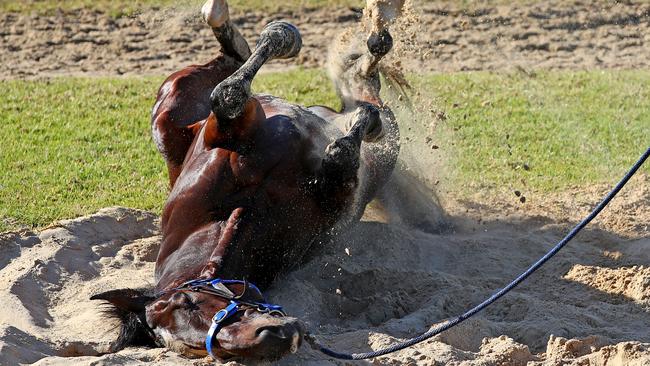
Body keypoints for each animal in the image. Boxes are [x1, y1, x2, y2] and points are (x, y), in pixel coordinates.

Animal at [90, 0, 404, 360]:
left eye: (189, 301)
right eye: (197, 349)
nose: (273, 338)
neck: (246, 210)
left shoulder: (225, 129)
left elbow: (228, 95)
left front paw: (283, 35)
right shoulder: (340, 193)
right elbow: (340, 153)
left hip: (170, 109)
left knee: (231, 62)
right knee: (366, 94)